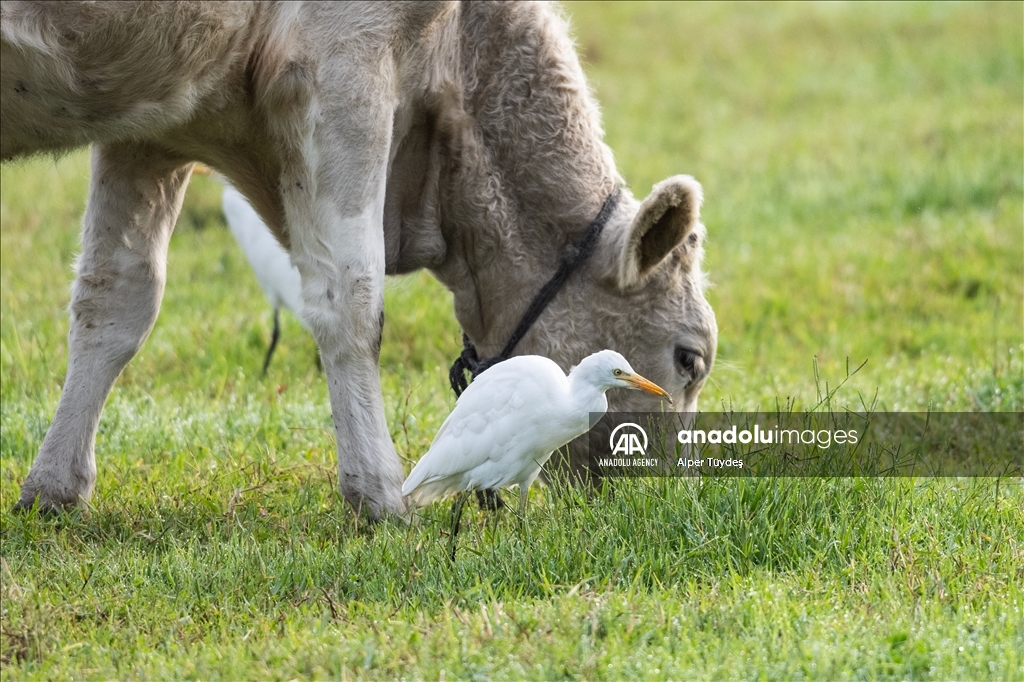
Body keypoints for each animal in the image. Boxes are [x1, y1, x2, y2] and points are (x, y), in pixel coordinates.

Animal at [2, 2, 720, 518]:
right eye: (689, 359)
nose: (655, 494)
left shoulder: (150, 127)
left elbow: (115, 302)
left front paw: (54, 489)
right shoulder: (342, 62)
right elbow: (349, 302)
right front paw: (381, 494)